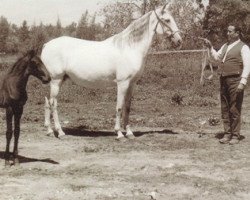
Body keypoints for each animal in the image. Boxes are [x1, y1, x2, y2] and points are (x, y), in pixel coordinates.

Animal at [40, 3, 182, 140]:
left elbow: (127, 107)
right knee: (53, 104)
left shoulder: (132, 84)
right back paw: (60, 132)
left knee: (47, 102)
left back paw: (49, 131)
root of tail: (46, 45)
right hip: (56, 80)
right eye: (167, 20)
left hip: (57, 81)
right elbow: (119, 107)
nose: (179, 41)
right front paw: (119, 133)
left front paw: (129, 133)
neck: (129, 48)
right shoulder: (122, 83)